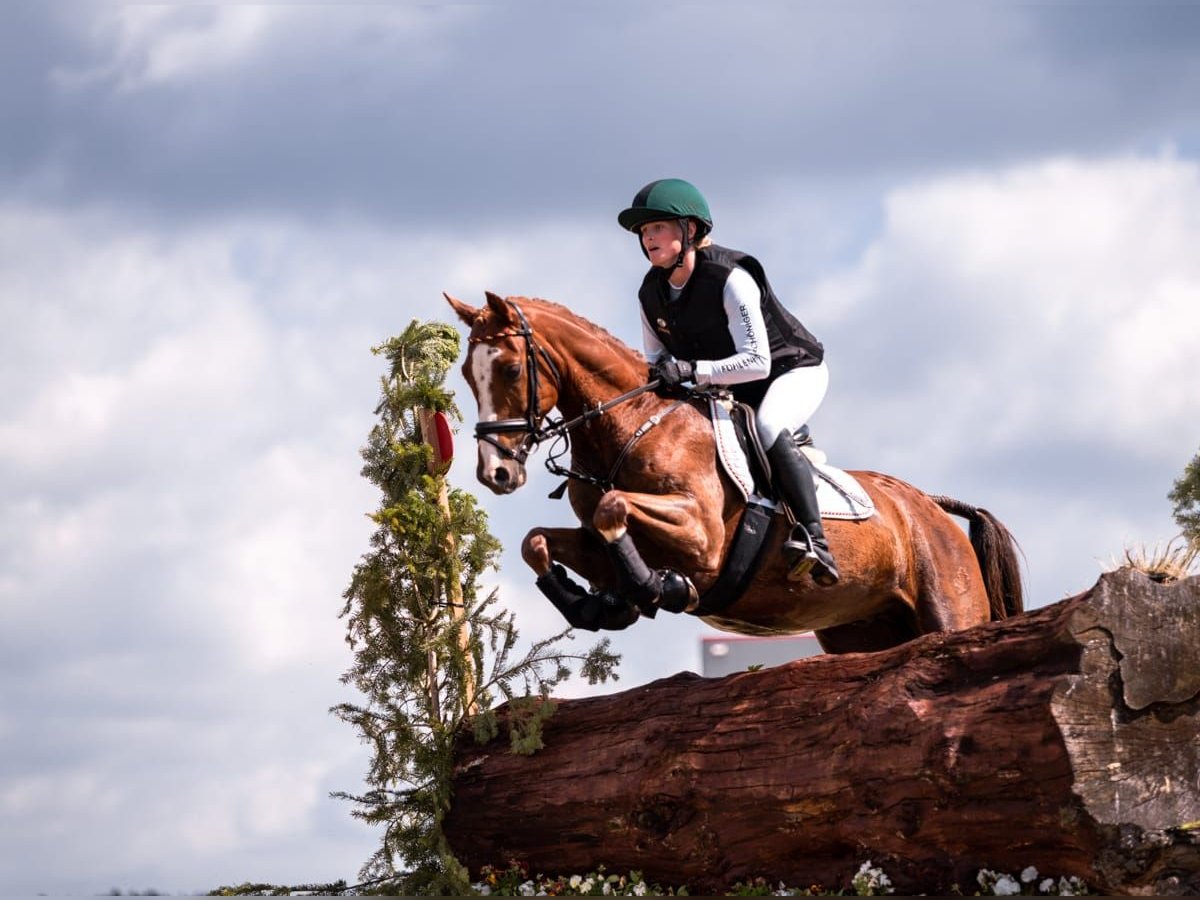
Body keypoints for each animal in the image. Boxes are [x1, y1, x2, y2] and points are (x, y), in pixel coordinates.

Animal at [446, 294, 1027, 657]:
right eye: (467, 374)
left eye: (511, 369)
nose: (496, 472)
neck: (631, 425)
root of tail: (931, 507)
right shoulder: (594, 541)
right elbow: (537, 541)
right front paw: (595, 605)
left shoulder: (701, 536)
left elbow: (616, 508)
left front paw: (657, 588)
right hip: (864, 630)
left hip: (949, 611)